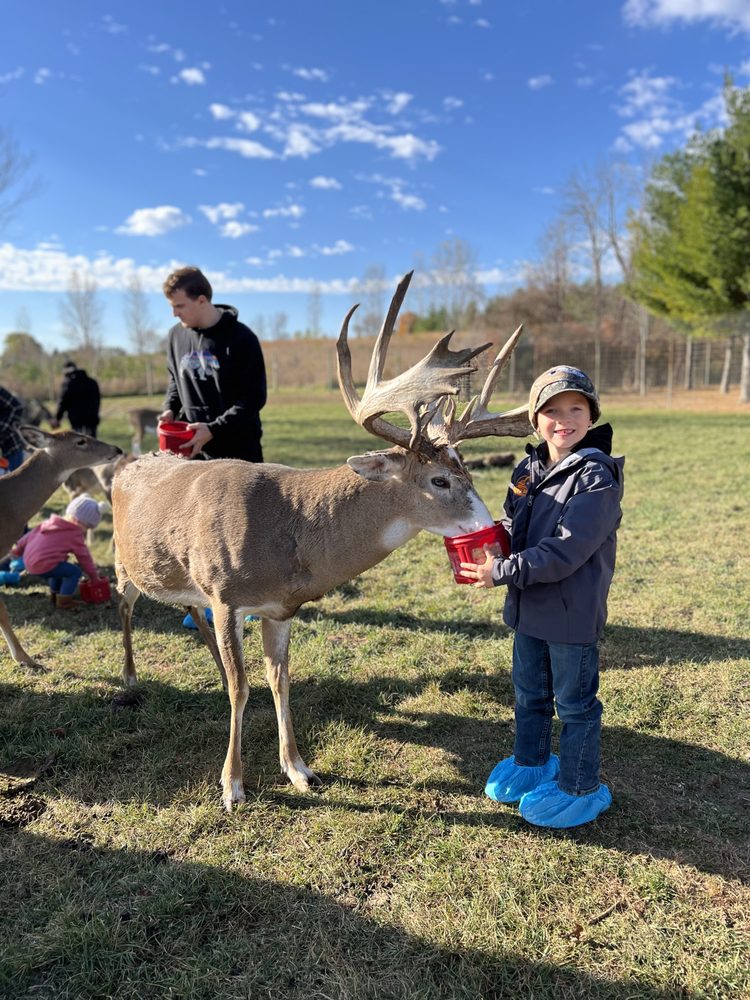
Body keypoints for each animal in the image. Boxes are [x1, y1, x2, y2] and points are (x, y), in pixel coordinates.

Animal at [111, 271, 532, 811]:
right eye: (440, 480)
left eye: (468, 472)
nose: (493, 525)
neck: (286, 530)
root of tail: (126, 462)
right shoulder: (226, 596)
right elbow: (242, 690)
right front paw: (232, 786)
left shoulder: (279, 609)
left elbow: (279, 681)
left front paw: (299, 769)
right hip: (124, 562)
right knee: (126, 604)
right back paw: (129, 676)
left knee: (185, 606)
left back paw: (211, 662)